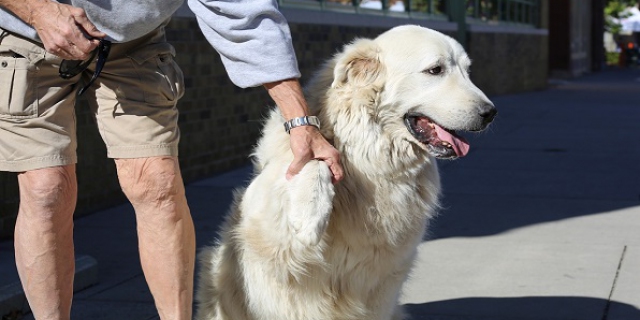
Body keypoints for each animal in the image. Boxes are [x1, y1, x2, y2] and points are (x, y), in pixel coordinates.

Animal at [195, 25, 496, 320]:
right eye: (435, 70)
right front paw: (309, 215)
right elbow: (315, 160)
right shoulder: (265, 234)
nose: (490, 113)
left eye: (467, 71)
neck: (365, 160)